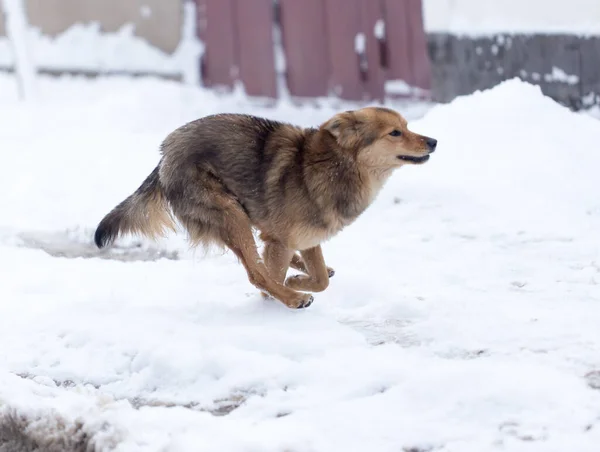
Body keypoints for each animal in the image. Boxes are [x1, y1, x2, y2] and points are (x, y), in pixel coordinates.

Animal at [94, 107, 436, 308]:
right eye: (395, 133)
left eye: (407, 126)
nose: (433, 141)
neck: (337, 165)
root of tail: (165, 153)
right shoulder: (287, 238)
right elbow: (273, 277)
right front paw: (287, 291)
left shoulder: (308, 238)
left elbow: (321, 279)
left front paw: (300, 278)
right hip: (230, 214)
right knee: (255, 272)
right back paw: (291, 297)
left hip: (245, 215)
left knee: (264, 253)